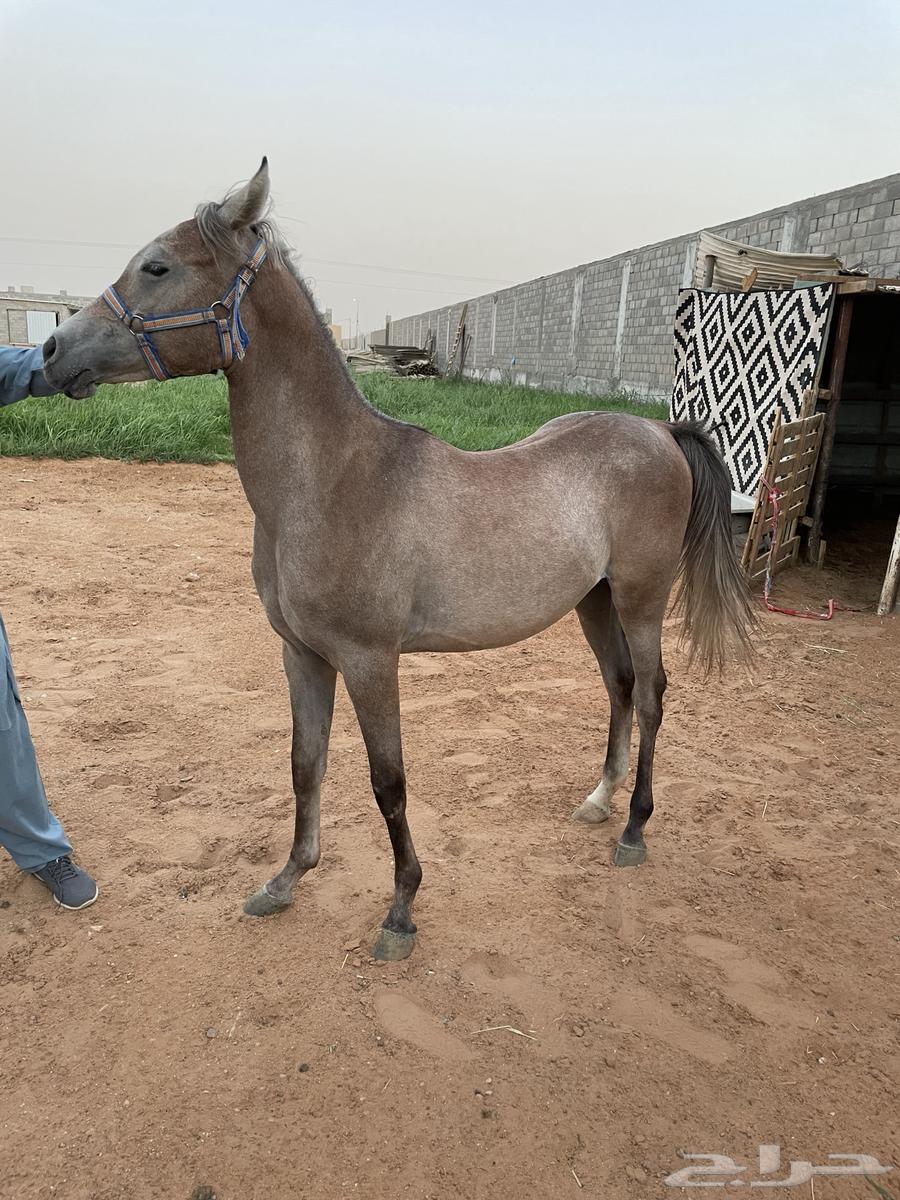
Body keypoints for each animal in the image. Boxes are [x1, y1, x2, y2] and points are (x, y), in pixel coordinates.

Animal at [43, 159, 754, 960]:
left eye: (158, 266)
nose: (52, 352)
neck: (332, 479)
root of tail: (660, 431)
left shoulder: (369, 659)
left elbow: (388, 781)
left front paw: (402, 909)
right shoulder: (302, 655)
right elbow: (306, 764)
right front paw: (286, 880)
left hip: (640, 598)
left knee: (654, 693)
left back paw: (634, 828)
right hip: (593, 602)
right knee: (622, 687)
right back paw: (599, 801)